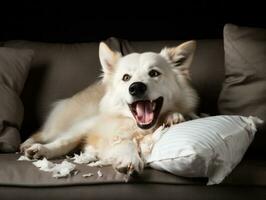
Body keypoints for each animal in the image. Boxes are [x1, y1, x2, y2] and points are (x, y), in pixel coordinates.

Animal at [20, 41, 198, 175]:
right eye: (126, 78)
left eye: (154, 73)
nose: (136, 88)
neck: (134, 126)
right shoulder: (88, 126)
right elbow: (64, 142)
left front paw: (173, 116)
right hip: (62, 126)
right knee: (43, 134)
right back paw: (29, 146)